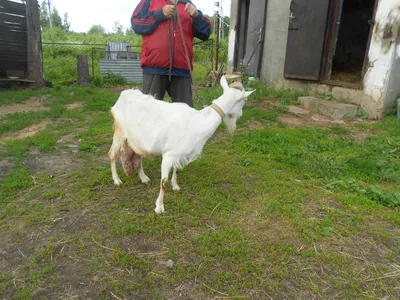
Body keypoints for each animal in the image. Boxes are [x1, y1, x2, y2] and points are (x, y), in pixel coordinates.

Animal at [108, 76, 253, 214]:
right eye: (245, 100)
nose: (241, 115)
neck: (198, 121)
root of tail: (123, 95)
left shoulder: (180, 154)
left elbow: (177, 169)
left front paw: (176, 186)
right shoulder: (168, 155)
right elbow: (163, 182)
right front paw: (159, 208)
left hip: (134, 138)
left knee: (137, 155)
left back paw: (143, 178)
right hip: (119, 133)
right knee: (112, 154)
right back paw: (117, 180)